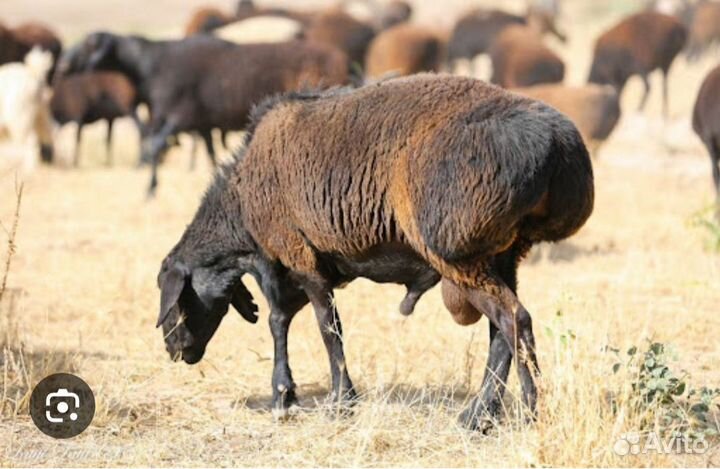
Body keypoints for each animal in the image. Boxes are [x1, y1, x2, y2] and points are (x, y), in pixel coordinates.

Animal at [64, 32, 349, 195]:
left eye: (89, 44)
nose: (63, 64)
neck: (153, 65)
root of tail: (340, 57)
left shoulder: (180, 115)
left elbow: (156, 146)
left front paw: (151, 188)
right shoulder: (201, 123)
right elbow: (211, 153)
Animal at [156, 74, 594, 431]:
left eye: (176, 300)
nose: (174, 351)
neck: (242, 200)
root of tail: (558, 145)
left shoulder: (298, 256)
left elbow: (324, 328)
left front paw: (336, 401)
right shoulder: (304, 265)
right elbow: (283, 320)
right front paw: (287, 394)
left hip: (459, 257)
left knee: (514, 321)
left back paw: (528, 411)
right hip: (503, 254)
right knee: (502, 332)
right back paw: (480, 415)